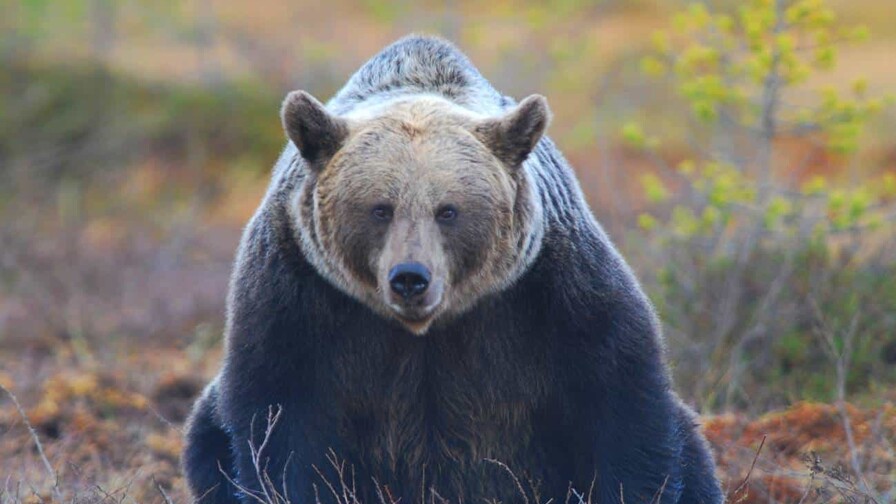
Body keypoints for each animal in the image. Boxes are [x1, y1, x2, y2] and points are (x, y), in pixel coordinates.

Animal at [182, 35, 723, 504]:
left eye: (448, 210)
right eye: (380, 208)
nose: (410, 278)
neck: (427, 331)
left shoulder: (550, 292)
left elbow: (622, 404)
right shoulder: (299, 297)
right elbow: (278, 424)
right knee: (206, 436)